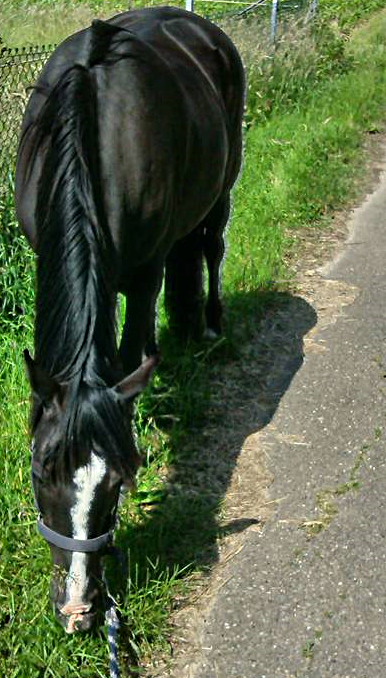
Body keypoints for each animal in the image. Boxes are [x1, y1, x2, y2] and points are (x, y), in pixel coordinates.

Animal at [15, 5, 244, 636]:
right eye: (41, 472)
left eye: (120, 483)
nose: (78, 611)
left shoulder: (142, 278)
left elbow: (128, 354)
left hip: (225, 180)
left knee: (210, 245)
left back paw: (209, 326)